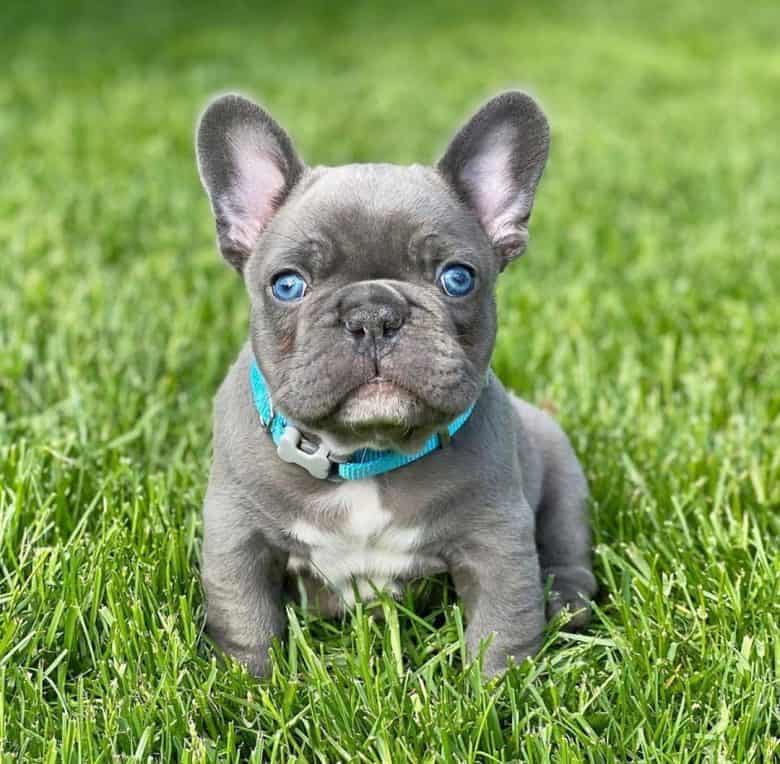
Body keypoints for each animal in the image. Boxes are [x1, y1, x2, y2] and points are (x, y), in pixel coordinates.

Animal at [195, 91, 596, 676]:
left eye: (458, 278)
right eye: (287, 285)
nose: (373, 315)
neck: (364, 453)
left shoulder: (496, 535)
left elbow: (503, 625)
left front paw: (500, 690)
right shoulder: (237, 535)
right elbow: (245, 619)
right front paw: (248, 684)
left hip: (564, 473)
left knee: (567, 541)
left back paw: (568, 602)